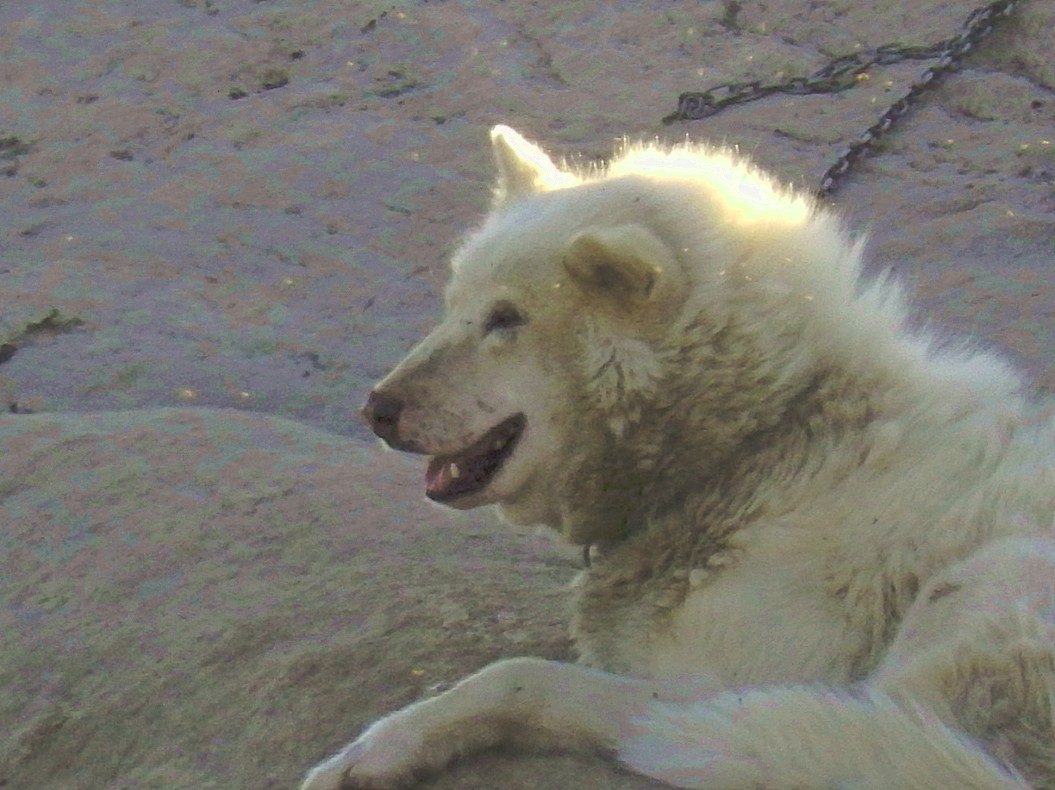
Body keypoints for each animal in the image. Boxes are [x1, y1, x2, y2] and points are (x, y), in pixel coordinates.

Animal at [301, 126, 1055, 784]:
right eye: (452, 305)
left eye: (506, 319)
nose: (375, 410)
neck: (756, 448)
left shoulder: (728, 680)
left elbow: (515, 676)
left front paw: (377, 749)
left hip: (983, 583)